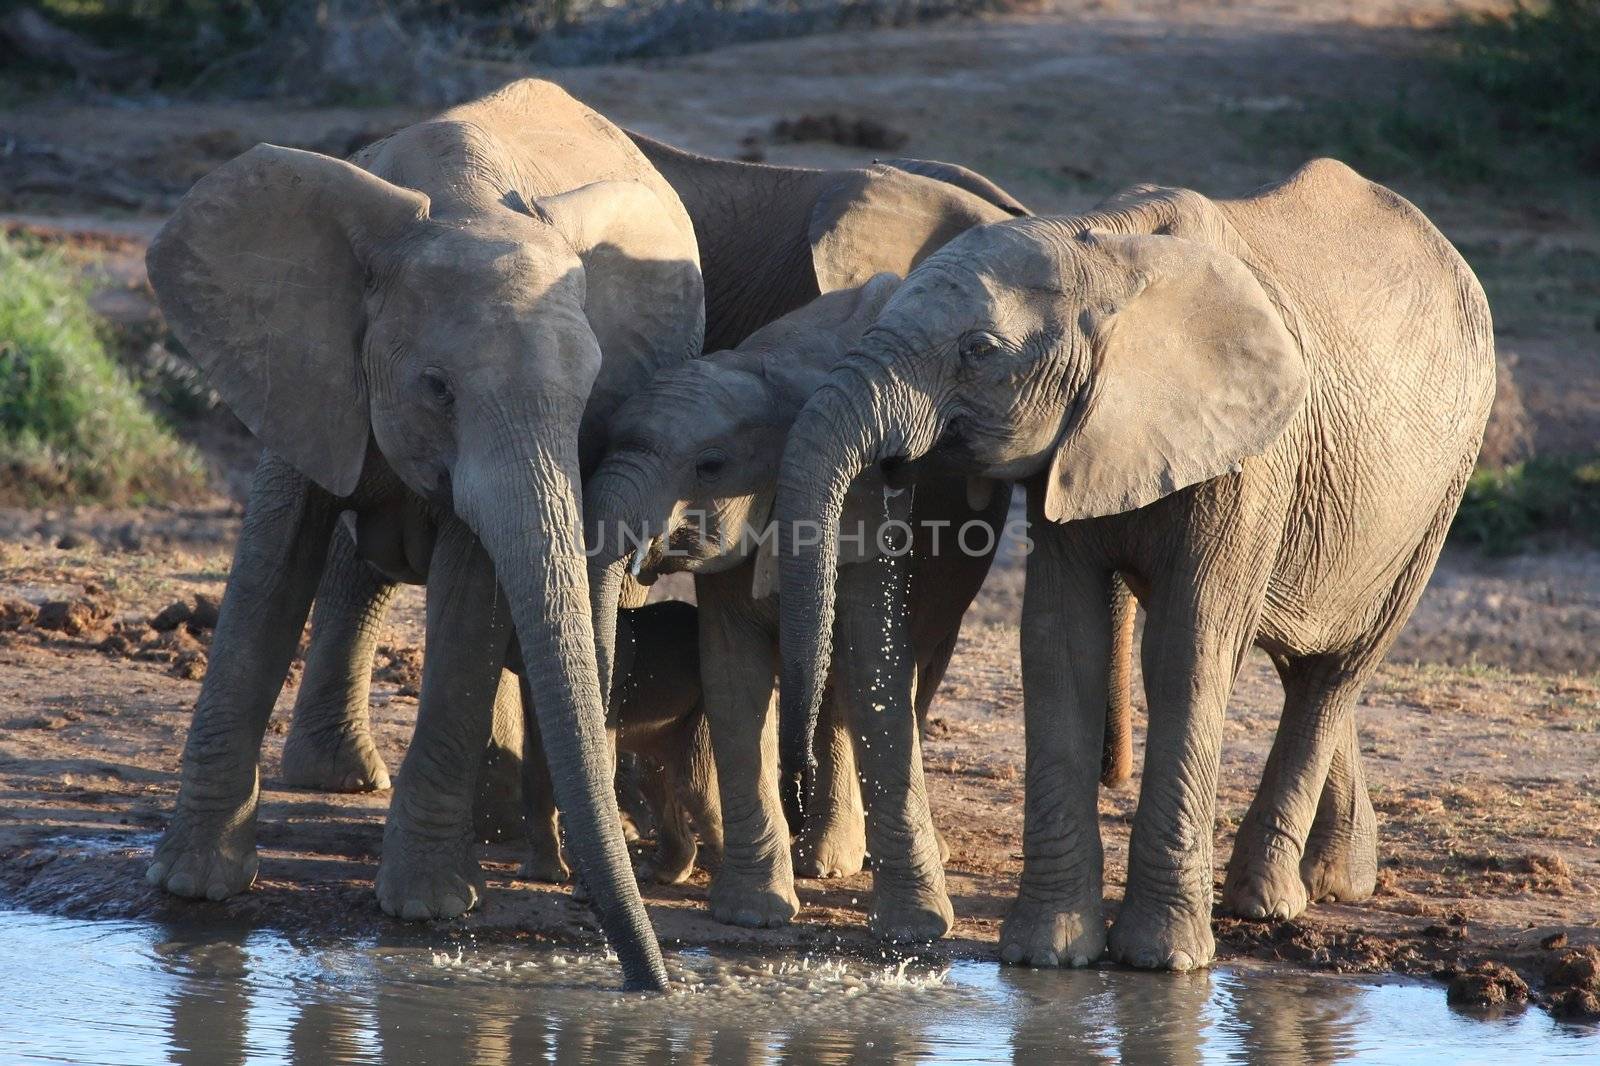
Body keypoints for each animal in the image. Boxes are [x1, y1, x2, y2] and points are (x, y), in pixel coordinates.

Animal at [147, 76, 704, 985]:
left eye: (590, 393)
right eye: (437, 388)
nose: (659, 986)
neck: (462, 202)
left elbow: (473, 593)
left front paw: (429, 909)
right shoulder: (302, 359)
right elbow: (271, 566)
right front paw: (193, 887)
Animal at [774, 160, 1497, 973]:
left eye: (980, 350)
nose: (794, 790)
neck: (1105, 249)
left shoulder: (1251, 454)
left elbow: (1188, 649)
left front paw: (1162, 962)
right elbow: (1060, 642)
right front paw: (1048, 957)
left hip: (1443, 485)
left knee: (1336, 670)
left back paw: (1267, 902)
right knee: (1302, 653)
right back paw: (1335, 882)